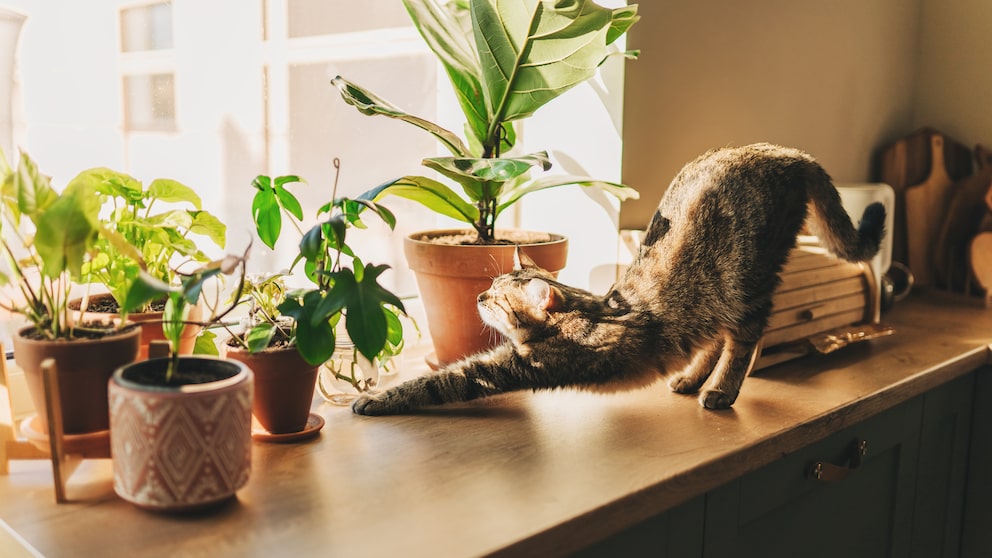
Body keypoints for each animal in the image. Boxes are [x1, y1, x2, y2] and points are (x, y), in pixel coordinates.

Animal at [350, 144, 884, 416]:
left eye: (498, 299)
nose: (479, 294)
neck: (587, 309)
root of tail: (787, 152)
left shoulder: (512, 367)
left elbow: (439, 383)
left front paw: (375, 399)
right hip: (718, 297)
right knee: (715, 336)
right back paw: (690, 379)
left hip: (748, 279)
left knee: (743, 341)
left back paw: (720, 391)